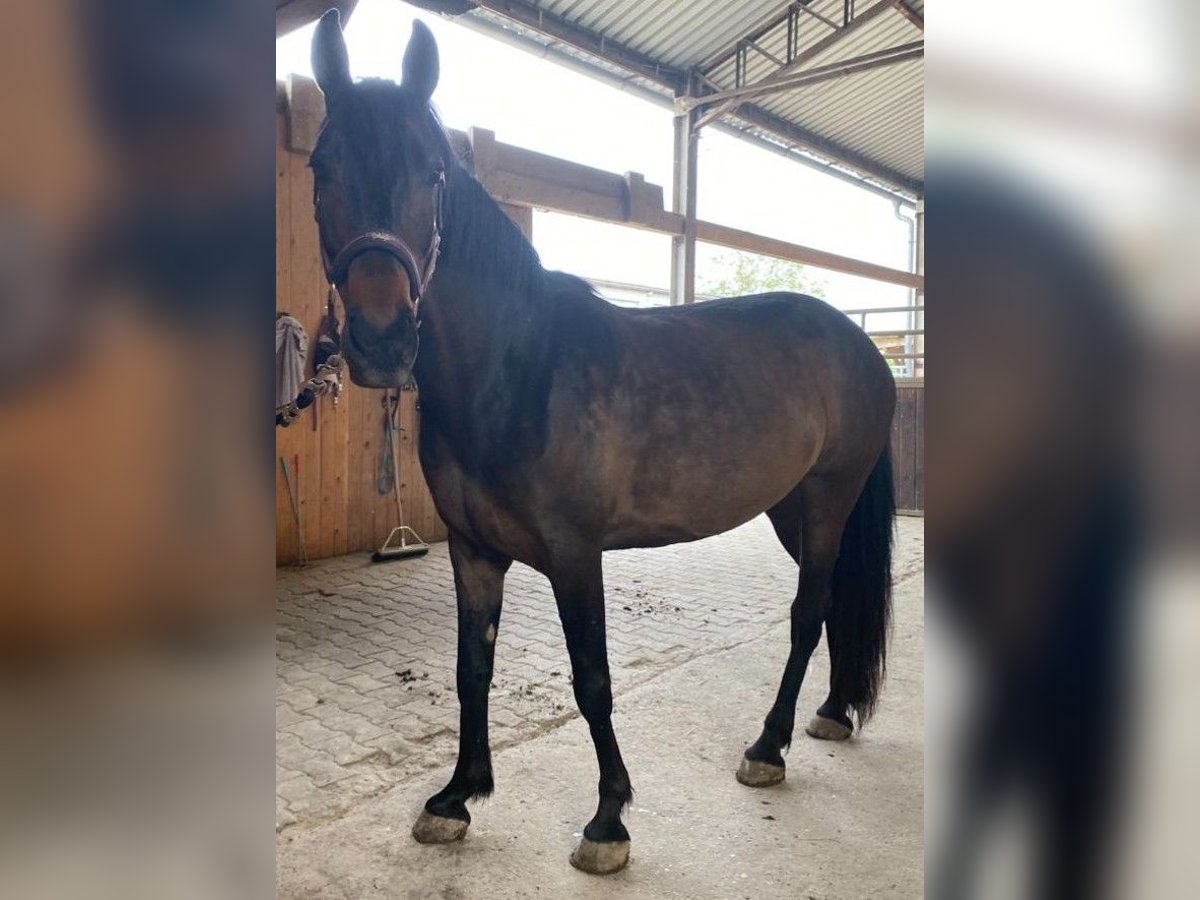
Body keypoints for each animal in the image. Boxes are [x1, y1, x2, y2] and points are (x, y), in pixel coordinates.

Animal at [307, 10, 896, 875]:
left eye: (433, 170)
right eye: (322, 165)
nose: (383, 339)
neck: (518, 369)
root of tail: (859, 346)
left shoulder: (574, 553)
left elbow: (592, 679)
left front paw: (608, 819)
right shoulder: (472, 551)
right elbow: (471, 668)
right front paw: (457, 797)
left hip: (827, 500)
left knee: (807, 612)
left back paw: (768, 747)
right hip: (793, 508)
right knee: (832, 606)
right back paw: (831, 711)